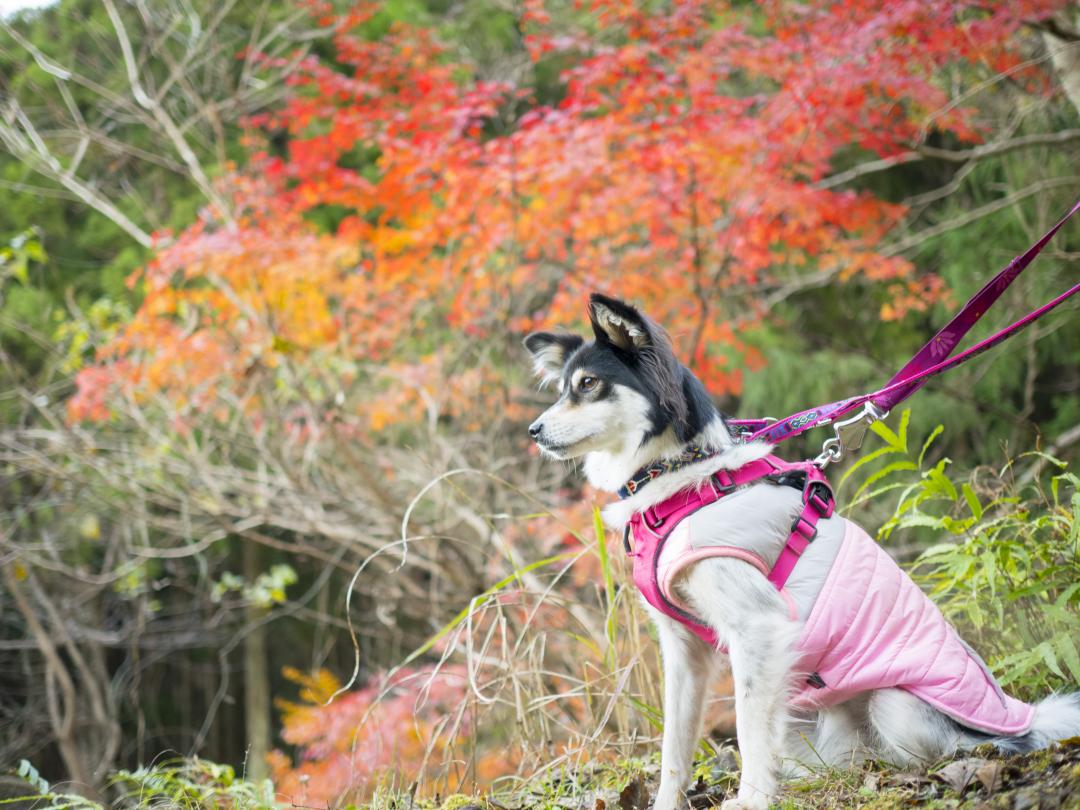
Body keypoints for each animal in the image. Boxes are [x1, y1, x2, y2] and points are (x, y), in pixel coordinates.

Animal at [522, 293, 1080, 810]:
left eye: (588, 385)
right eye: (564, 387)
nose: (534, 431)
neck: (688, 482)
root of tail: (1022, 721)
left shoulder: (757, 631)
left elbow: (747, 730)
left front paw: (750, 799)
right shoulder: (683, 649)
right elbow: (674, 749)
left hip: (896, 706)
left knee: (928, 750)